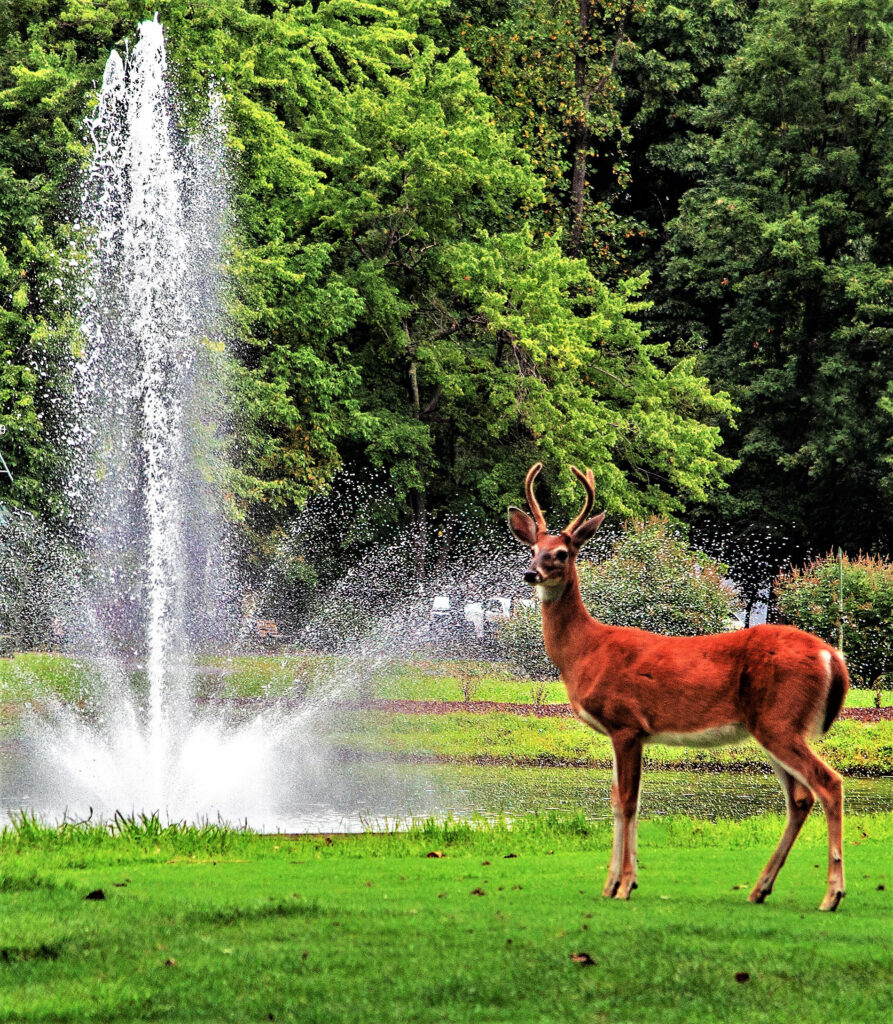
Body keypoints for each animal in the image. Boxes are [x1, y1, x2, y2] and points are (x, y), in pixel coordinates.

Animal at [509, 464, 852, 913]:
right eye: (532, 548)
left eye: (563, 552)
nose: (532, 573)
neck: (585, 651)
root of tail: (832, 655)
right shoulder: (624, 732)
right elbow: (616, 802)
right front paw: (612, 884)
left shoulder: (626, 723)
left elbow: (628, 801)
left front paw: (624, 885)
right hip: (772, 726)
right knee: (800, 798)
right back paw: (760, 888)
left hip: (780, 719)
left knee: (829, 783)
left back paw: (832, 895)